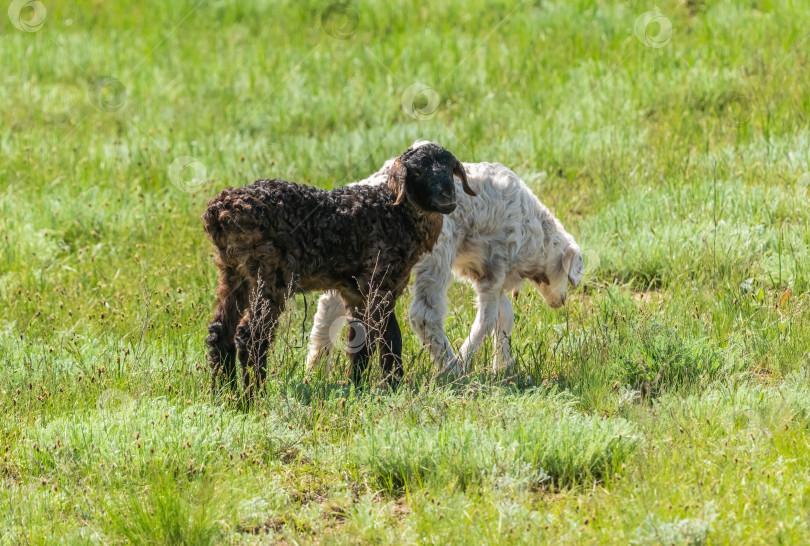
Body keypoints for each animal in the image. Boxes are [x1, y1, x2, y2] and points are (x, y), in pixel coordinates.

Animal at [308, 138, 580, 372]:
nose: (561, 302)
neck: (535, 236)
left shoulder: (489, 275)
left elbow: (505, 317)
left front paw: (502, 367)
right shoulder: (494, 268)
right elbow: (489, 319)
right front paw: (468, 358)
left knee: (331, 303)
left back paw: (316, 365)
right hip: (435, 254)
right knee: (423, 315)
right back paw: (451, 371)